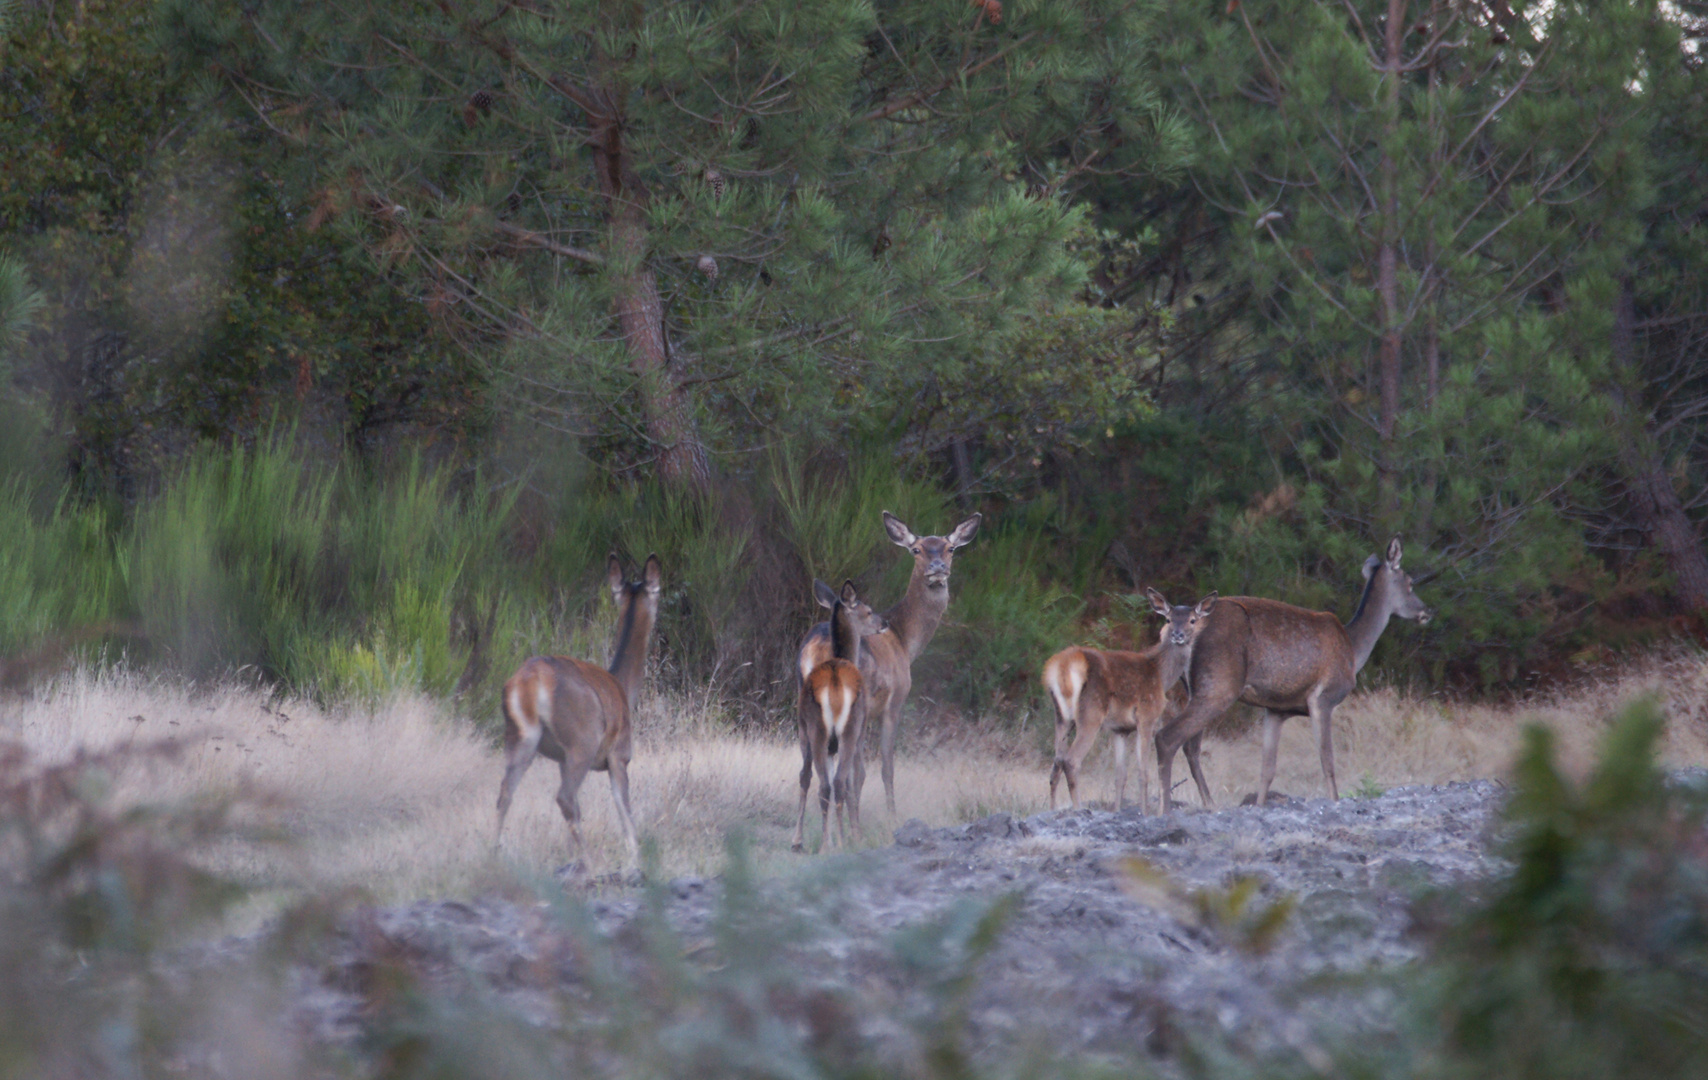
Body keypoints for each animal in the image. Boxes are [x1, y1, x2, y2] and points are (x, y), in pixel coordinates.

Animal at [495, 553, 659, 864]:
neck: (624, 687)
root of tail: (530, 682)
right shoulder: (619, 755)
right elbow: (625, 811)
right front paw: (636, 858)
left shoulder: (561, 759)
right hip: (583, 740)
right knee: (565, 798)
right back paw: (587, 860)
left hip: (521, 737)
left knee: (505, 794)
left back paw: (495, 851)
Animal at [792, 581, 888, 851]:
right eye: (868, 610)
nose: (884, 622)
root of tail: (834, 683)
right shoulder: (858, 729)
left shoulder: (827, 744)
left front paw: (831, 839)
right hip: (847, 729)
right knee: (836, 783)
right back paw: (838, 843)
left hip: (816, 732)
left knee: (820, 783)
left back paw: (819, 844)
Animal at [795, 509, 983, 813]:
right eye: (916, 549)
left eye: (950, 548)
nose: (938, 567)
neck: (904, 641)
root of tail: (817, 650)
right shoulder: (893, 703)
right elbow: (886, 769)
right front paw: (892, 815)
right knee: (849, 773)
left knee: (807, 770)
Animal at [1038, 591, 1216, 810]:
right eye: (1168, 619)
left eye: (1192, 620)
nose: (1178, 635)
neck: (1160, 675)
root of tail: (1062, 667)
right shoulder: (1147, 716)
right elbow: (1143, 772)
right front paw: (1145, 811)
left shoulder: (1120, 729)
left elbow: (1120, 776)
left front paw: (1117, 810)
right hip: (1091, 712)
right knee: (1071, 761)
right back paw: (1078, 808)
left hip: (1062, 717)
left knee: (1056, 765)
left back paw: (1053, 809)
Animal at [1154, 536, 1434, 806]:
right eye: (1410, 582)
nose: (1427, 611)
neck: (1353, 650)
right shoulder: (1323, 697)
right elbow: (1327, 762)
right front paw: (1334, 800)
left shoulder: (1275, 709)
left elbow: (1267, 769)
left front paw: (1259, 805)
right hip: (1219, 685)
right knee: (1167, 737)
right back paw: (1169, 807)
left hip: (1195, 688)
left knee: (1190, 747)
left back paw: (1207, 804)